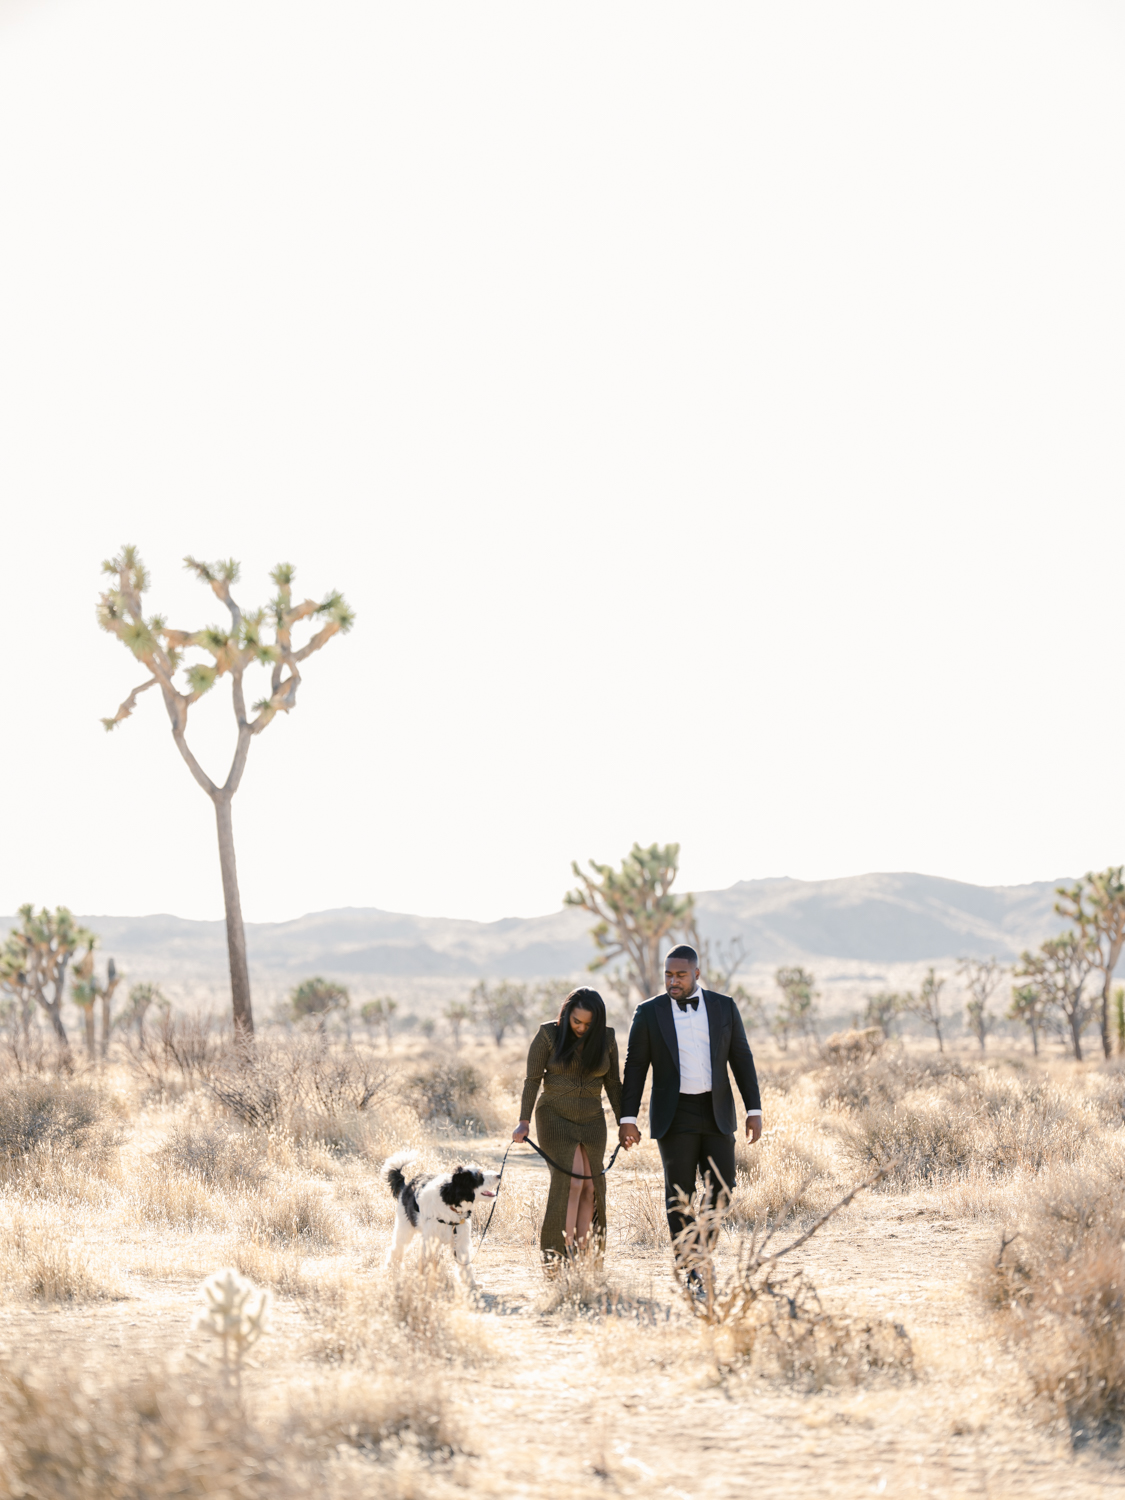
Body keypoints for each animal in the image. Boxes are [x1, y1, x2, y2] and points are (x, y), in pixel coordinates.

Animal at [381, 1152, 501, 1284]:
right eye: (480, 1177)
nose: (499, 1175)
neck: (449, 1201)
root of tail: (405, 1187)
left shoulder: (460, 1240)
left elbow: (464, 1263)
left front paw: (470, 1284)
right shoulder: (430, 1241)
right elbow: (426, 1261)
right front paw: (423, 1281)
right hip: (404, 1228)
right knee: (396, 1248)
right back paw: (391, 1269)